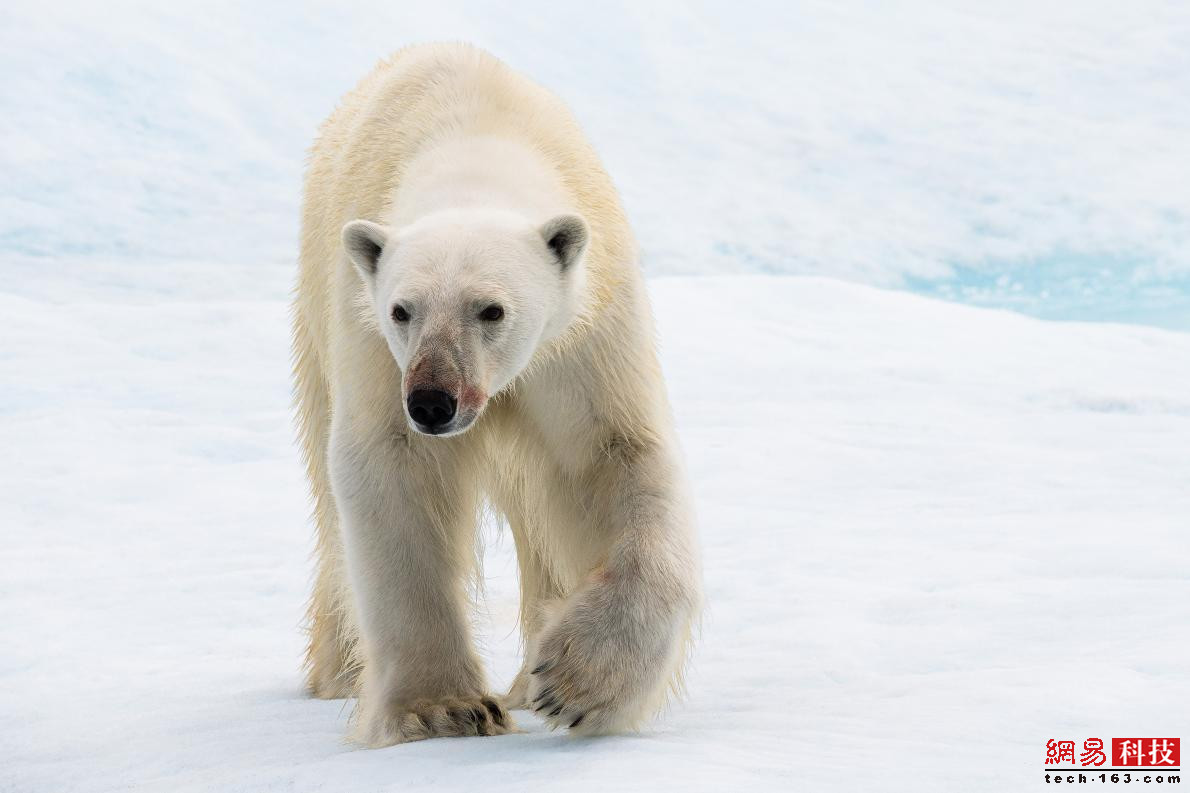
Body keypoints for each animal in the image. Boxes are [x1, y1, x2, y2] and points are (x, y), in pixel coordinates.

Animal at [290, 44, 694, 747]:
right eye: (402, 310)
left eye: (492, 309)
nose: (432, 402)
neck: (475, 144)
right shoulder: (367, 336)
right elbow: (392, 470)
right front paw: (441, 709)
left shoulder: (581, 337)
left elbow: (614, 454)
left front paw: (578, 683)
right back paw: (339, 671)